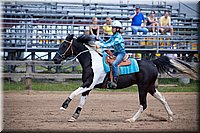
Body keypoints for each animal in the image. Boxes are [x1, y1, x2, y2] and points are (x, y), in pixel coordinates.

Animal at [52, 34, 198, 122]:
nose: (55, 59)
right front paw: (74, 116)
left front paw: (64, 106)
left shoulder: (89, 84)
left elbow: (74, 93)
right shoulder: (88, 86)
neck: (92, 61)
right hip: (151, 88)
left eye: (64, 45)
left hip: (143, 88)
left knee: (143, 104)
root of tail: (153, 62)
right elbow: (82, 101)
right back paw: (170, 117)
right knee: (162, 99)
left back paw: (131, 119)